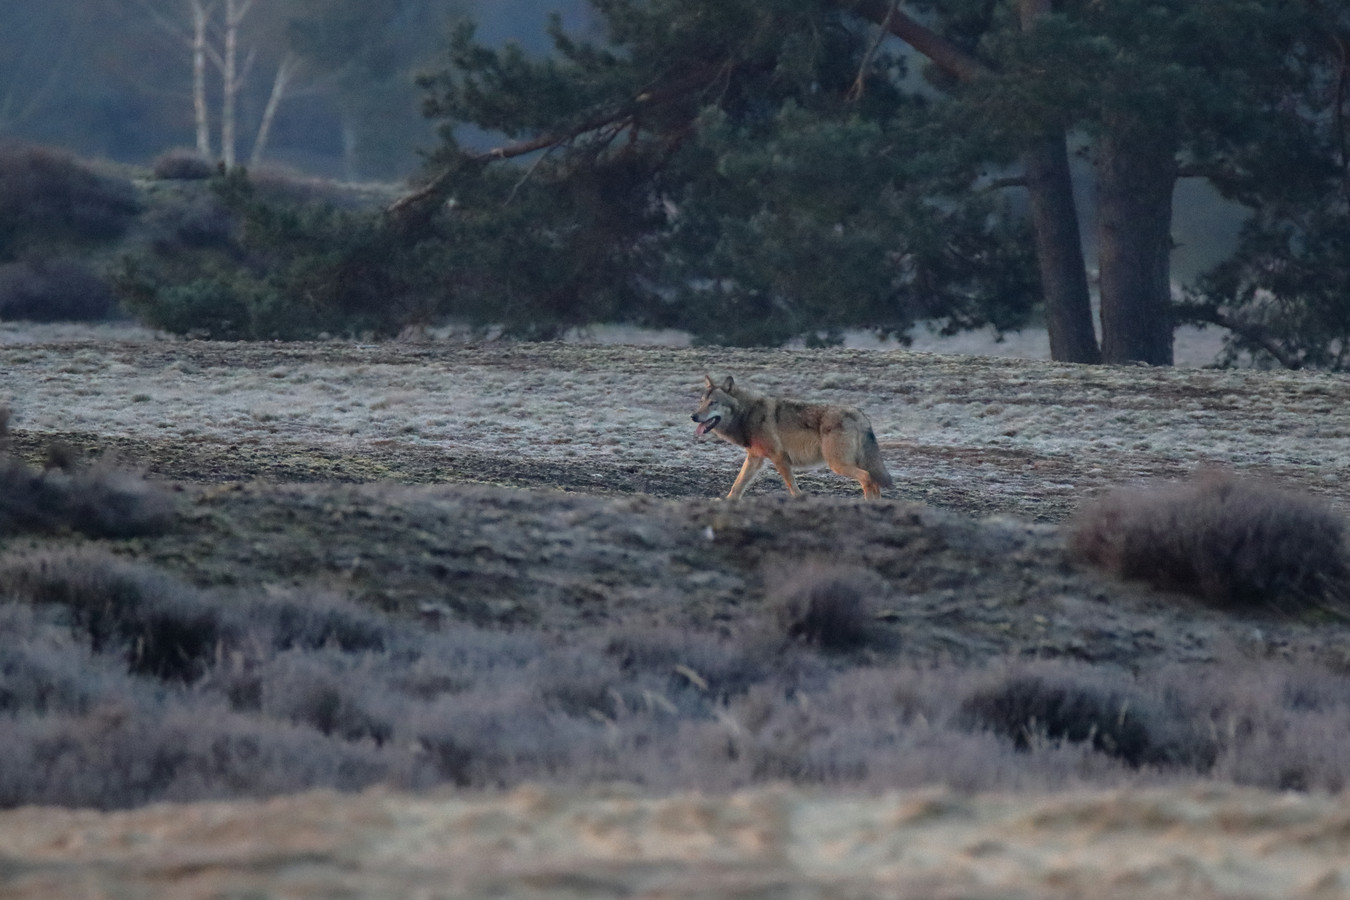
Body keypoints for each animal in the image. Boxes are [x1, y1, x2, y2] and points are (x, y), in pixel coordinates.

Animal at [691, 372, 891, 499]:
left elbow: (792, 486)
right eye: (701, 402)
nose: (693, 416)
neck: (747, 413)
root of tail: (860, 414)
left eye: (713, 403)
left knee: (867, 478)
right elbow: (737, 485)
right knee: (874, 482)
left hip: (837, 464)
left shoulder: (779, 457)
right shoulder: (755, 458)